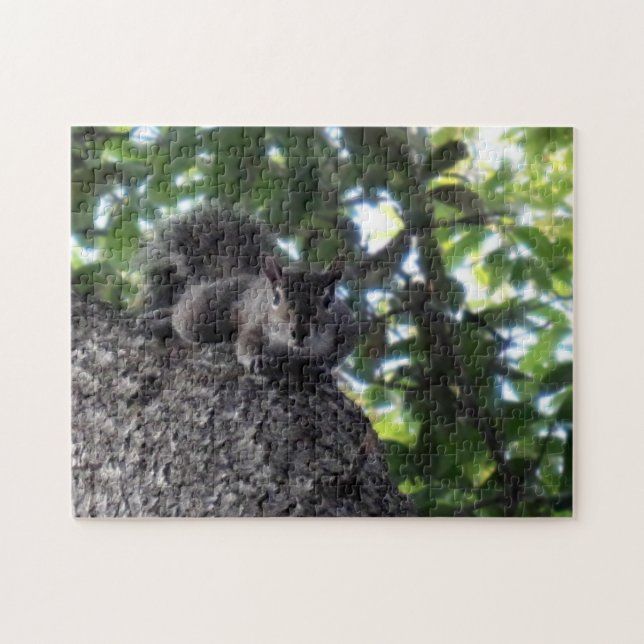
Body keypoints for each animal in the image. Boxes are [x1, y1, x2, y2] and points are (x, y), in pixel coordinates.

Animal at [137, 204, 358, 377]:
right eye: (275, 298)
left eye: (328, 302)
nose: (300, 333)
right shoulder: (256, 322)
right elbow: (245, 343)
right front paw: (254, 359)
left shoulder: (347, 325)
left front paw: (324, 366)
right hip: (206, 309)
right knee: (182, 317)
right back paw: (158, 320)